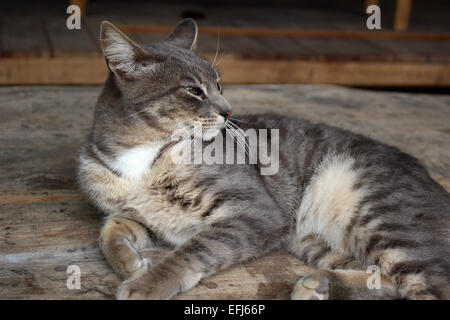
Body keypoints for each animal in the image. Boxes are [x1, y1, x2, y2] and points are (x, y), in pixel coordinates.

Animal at [77, 18, 450, 300]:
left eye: (219, 85)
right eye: (193, 90)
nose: (228, 111)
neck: (144, 158)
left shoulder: (253, 212)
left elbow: (195, 249)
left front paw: (147, 282)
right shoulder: (143, 215)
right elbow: (110, 228)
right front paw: (133, 262)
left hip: (379, 214)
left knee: (431, 284)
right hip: (318, 241)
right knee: (386, 279)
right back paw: (320, 285)